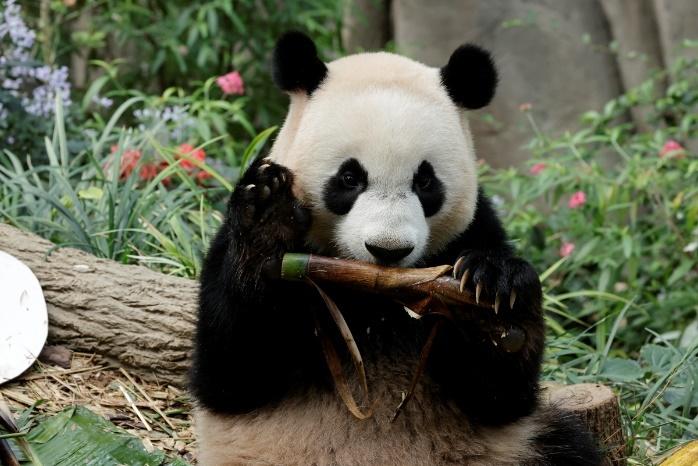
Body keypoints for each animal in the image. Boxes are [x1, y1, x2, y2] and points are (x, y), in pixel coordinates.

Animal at [190, 31, 602, 466]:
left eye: (425, 181)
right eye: (349, 178)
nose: (388, 250)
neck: (376, 299)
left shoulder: (474, 230)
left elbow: (501, 396)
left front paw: (493, 295)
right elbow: (232, 373)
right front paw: (269, 216)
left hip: (513, 451)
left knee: (567, 445)